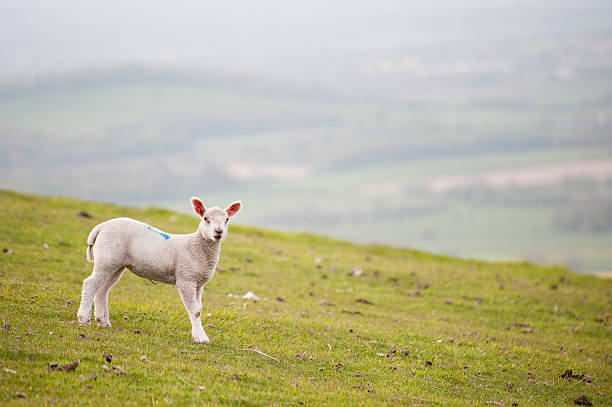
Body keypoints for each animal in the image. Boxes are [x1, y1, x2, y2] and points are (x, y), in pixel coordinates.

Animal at [75, 198, 240, 344]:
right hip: (107, 258)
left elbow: (198, 309)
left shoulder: (198, 282)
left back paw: (103, 321)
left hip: (116, 264)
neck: (196, 247)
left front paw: (195, 335)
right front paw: (202, 338)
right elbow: (195, 311)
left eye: (227, 220)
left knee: (102, 289)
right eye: (206, 218)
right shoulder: (186, 278)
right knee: (90, 284)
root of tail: (101, 227)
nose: (218, 232)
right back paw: (84, 319)